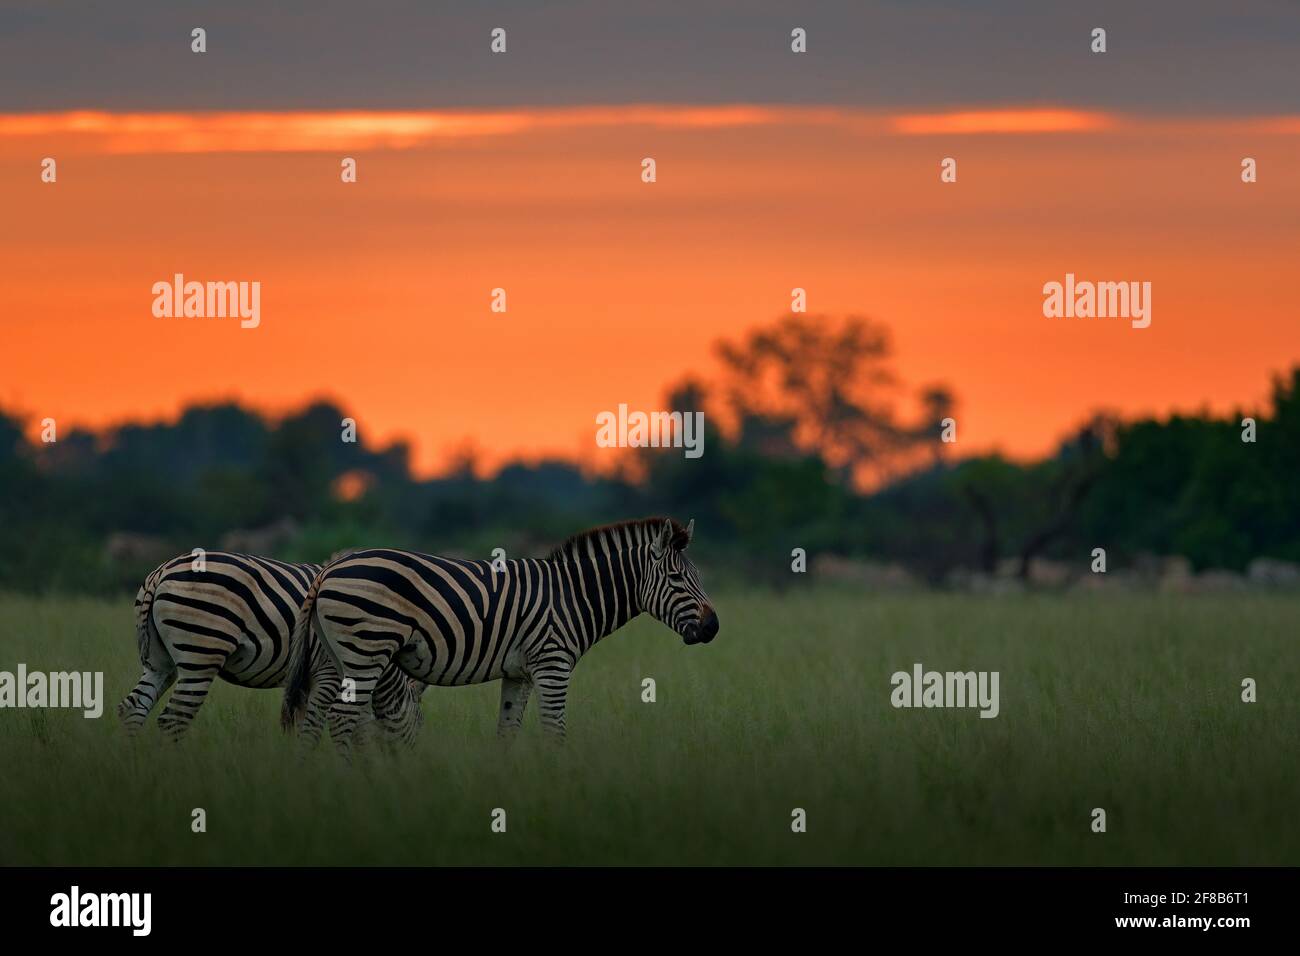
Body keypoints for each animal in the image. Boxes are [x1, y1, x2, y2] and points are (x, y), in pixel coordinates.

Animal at [118, 550, 423, 743]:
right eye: (418, 725)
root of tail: (161, 571)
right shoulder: (329, 673)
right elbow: (318, 725)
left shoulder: (305, 679)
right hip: (201, 652)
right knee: (173, 719)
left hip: (160, 661)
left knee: (132, 708)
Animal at [281, 516, 719, 753]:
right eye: (677, 579)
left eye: (698, 576)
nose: (713, 627)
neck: (572, 595)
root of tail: (328, 568)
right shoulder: (552, 665)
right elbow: (555, 732)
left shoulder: (519, 674)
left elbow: (507, 733)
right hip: (366, 649)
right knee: (342, 718)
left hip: (339, 655)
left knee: (324, 716)